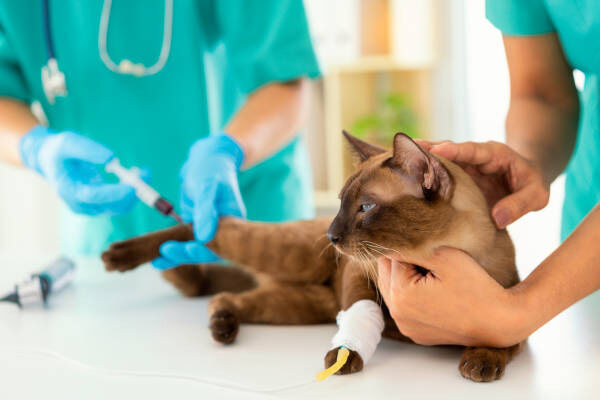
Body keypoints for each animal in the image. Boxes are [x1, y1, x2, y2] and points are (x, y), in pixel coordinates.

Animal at [102, 131, 522, 382]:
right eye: (341, 204)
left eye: (365, 207)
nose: (331, 237)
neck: (428, 260)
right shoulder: (363, 271)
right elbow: (361, 313)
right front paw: (344, 357)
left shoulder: (504, 299)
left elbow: (497, 333)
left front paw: (479, 363)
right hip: (281, 255)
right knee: (203, 226)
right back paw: (120, 255)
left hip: (298, 305)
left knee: (228, 296)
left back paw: (222, 326)